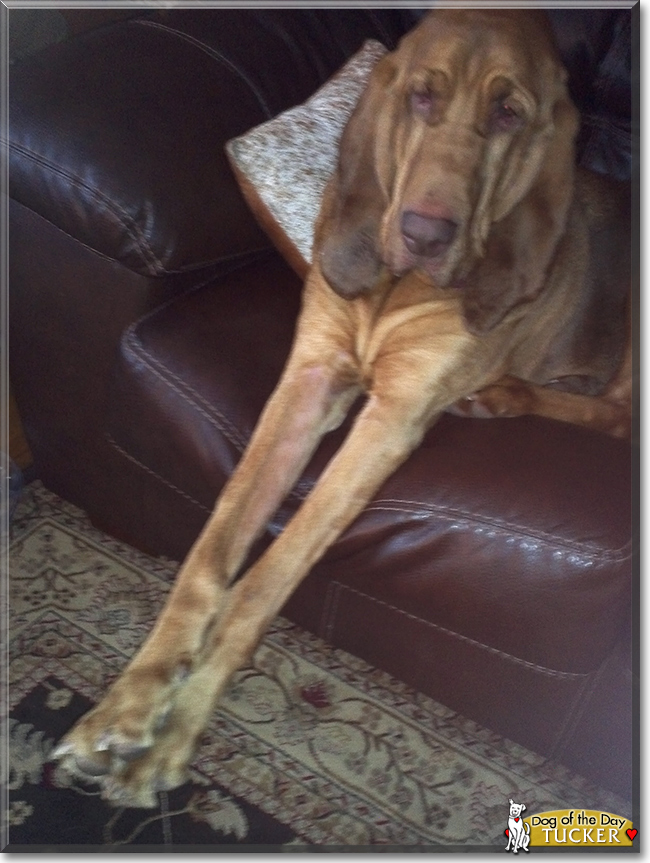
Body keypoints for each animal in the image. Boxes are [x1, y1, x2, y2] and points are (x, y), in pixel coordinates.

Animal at [53, 6, 632, 808]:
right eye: (420, 97)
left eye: (508, 114)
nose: (424, 235)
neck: (396, 285)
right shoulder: (310, 376)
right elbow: (210, 549)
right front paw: (127, 705)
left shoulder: (389, 419)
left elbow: (263, 581)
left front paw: (172, 734)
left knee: (621, 412)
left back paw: (503, 395)